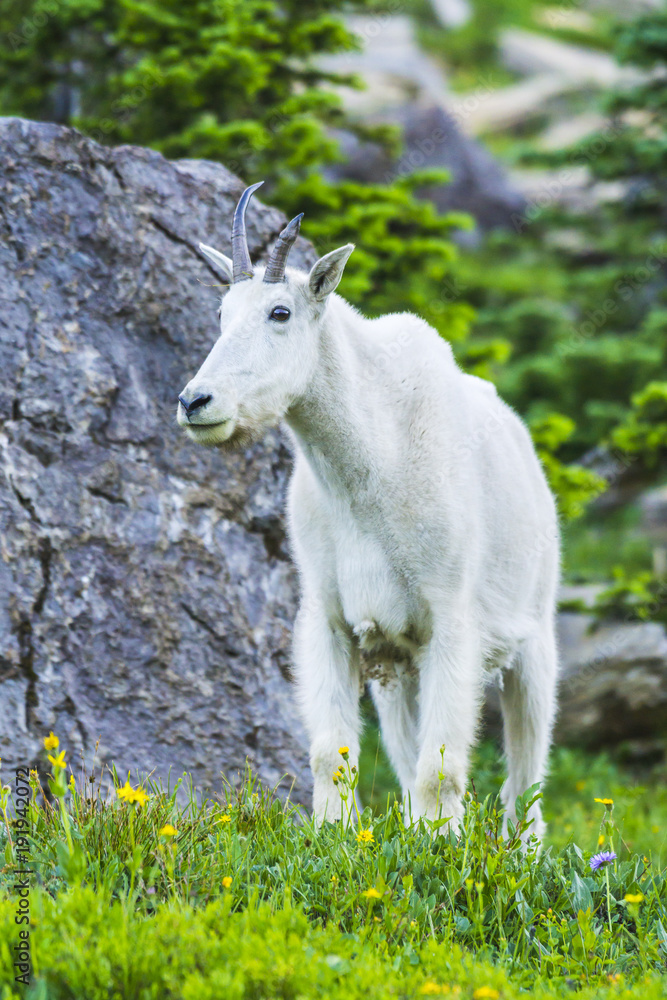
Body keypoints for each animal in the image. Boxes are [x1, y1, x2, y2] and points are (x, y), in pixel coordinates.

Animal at [177, 182, 560, 840]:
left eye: (280, 313)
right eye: (221, 315)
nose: (197, 402)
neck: (368, 471)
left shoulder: (452, 620)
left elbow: (443, 768)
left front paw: (443, 849)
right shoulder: (330, 619)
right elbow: (331, 753)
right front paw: (337, 839)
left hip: (533, 637)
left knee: (527, 774)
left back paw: (524, 851)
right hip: (399, 670)